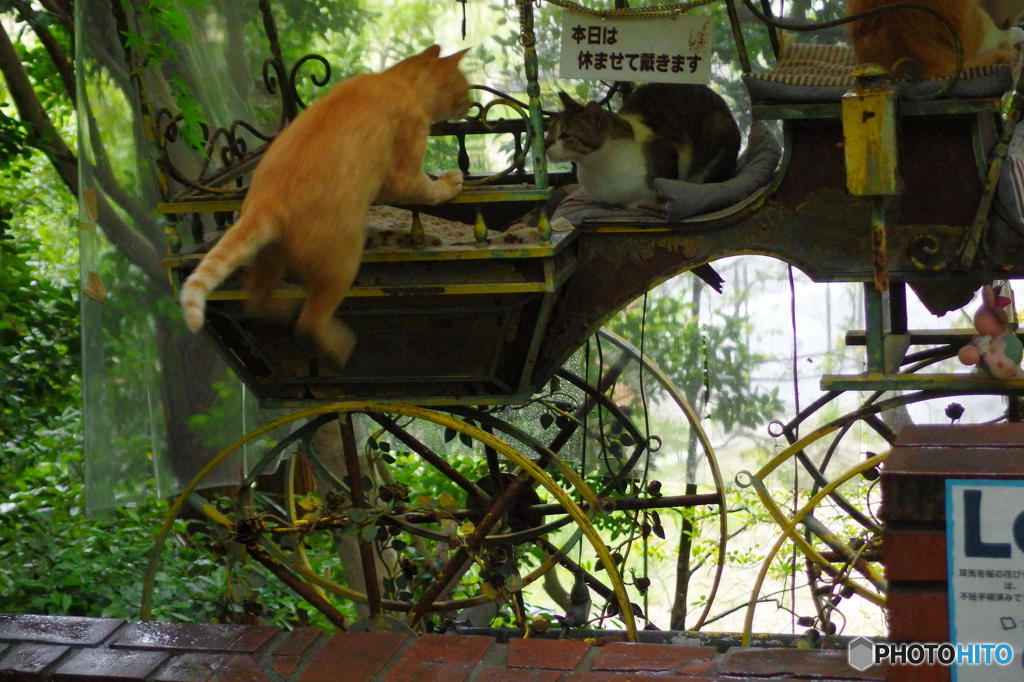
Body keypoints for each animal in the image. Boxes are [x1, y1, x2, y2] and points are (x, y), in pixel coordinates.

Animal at [181, 44, 471, 366]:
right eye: (465, 87)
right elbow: (427, 189)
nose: (473, 104)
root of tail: (266, 204)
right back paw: (339, 345)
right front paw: (450, 182)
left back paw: (285, 307)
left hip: (269, 260)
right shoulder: (403, 172)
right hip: (343, 262)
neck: (395, 80)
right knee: (310, 320)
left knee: (257, 299)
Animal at [548, 81, 741, 206]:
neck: (598, 170)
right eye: (549, 132)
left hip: (718, 130)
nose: (547, 145)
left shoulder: (668, 153)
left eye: (565, 135)